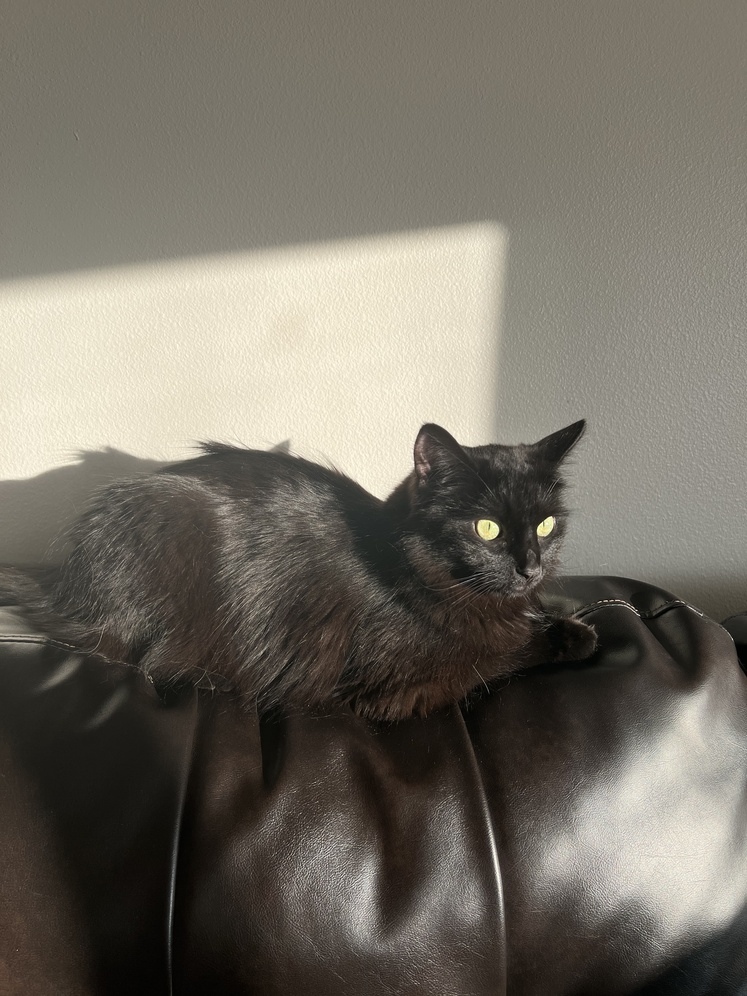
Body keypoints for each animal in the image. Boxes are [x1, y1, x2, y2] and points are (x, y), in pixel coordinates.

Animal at [0, 421, 596, 721]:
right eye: (486, 529)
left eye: (546, 524)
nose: (531, 567)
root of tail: (63, 584)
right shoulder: (405, 688)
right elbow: (504, 653)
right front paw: (577, 634)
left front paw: (567, 612)